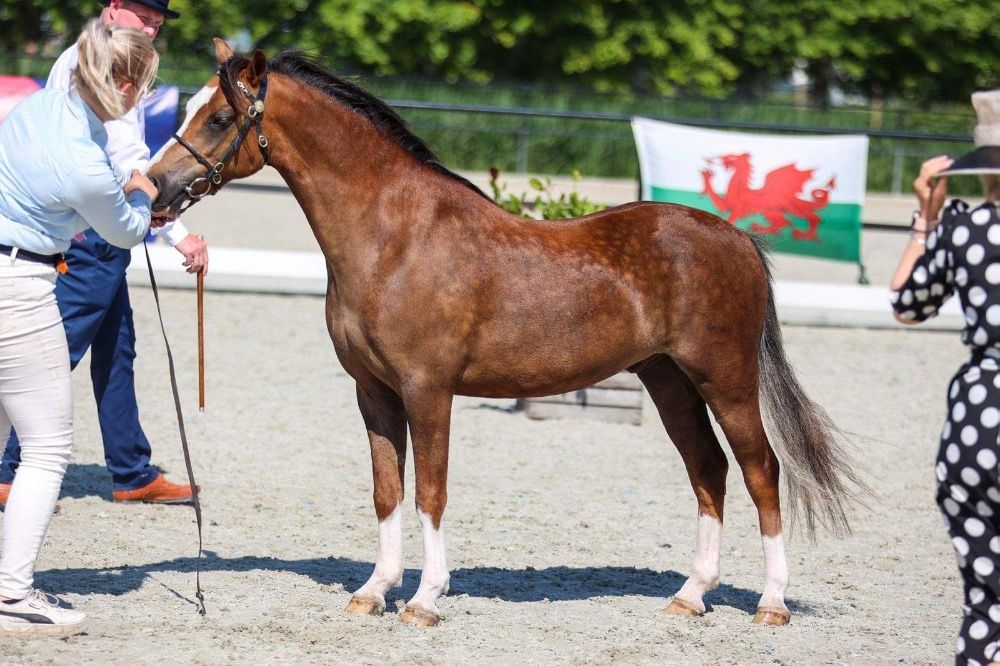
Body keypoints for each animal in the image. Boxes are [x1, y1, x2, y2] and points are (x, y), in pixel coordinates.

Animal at [147, 40, 864, 628]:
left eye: (218, 117)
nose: (153, 188)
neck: (393, 238)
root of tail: (735, 236)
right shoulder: (372, 392)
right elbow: (386, 491)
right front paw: (373, 591)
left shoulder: (428, 390)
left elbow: (431, 491)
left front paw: (424, 600)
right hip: (668, 380)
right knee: (708, 470)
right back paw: (691, 597)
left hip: (727, 379)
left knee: (760, 470)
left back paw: (771, 603)